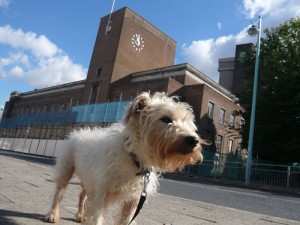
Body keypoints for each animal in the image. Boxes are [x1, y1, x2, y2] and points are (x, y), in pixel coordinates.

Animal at [44, 92, 204, 224]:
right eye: (165, 119)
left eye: (187, 122)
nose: (194, 140)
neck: (134, 157)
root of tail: (79, 132)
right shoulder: (100, 195)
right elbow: (96, 218)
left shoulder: (133, 201)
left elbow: (125, 220)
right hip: (67, 171)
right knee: (59, 194)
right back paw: (52, 215)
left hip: (89, 178)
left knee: (82, 195)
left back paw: (79, 216)